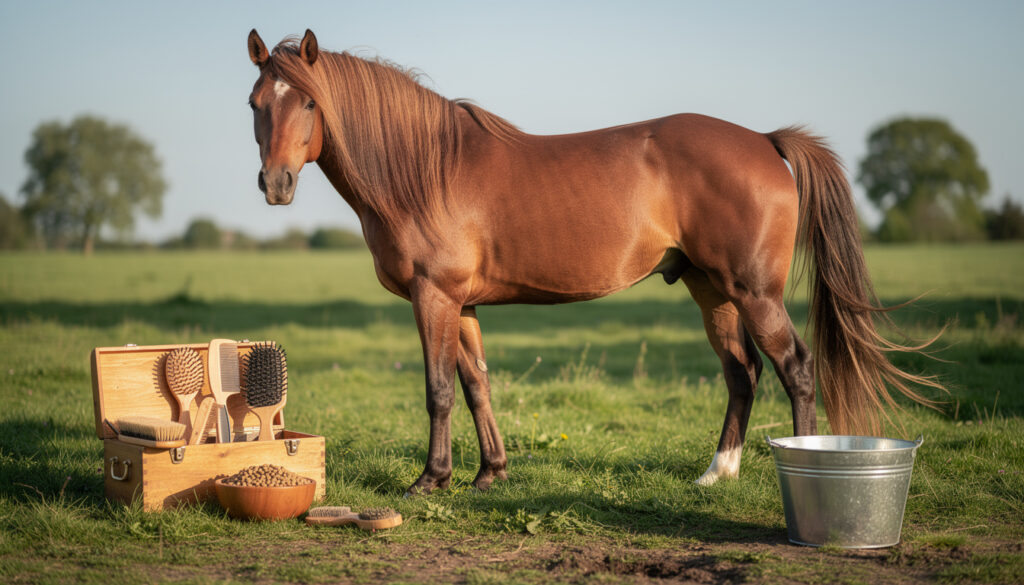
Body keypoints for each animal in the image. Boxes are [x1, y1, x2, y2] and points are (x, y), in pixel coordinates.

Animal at [246, 29, 942, 495]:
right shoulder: (462, 304)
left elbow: (439, 390)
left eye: (309, 103)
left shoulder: (434, 296)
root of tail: (766, 142)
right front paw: (489, 474)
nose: (275, 184)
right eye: (256, 103)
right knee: (741, 373)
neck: (425, 170)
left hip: (754, 292)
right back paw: (717, 473)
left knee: (794, 367)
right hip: (711, 290)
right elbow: (476, 386)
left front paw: (430, 479)